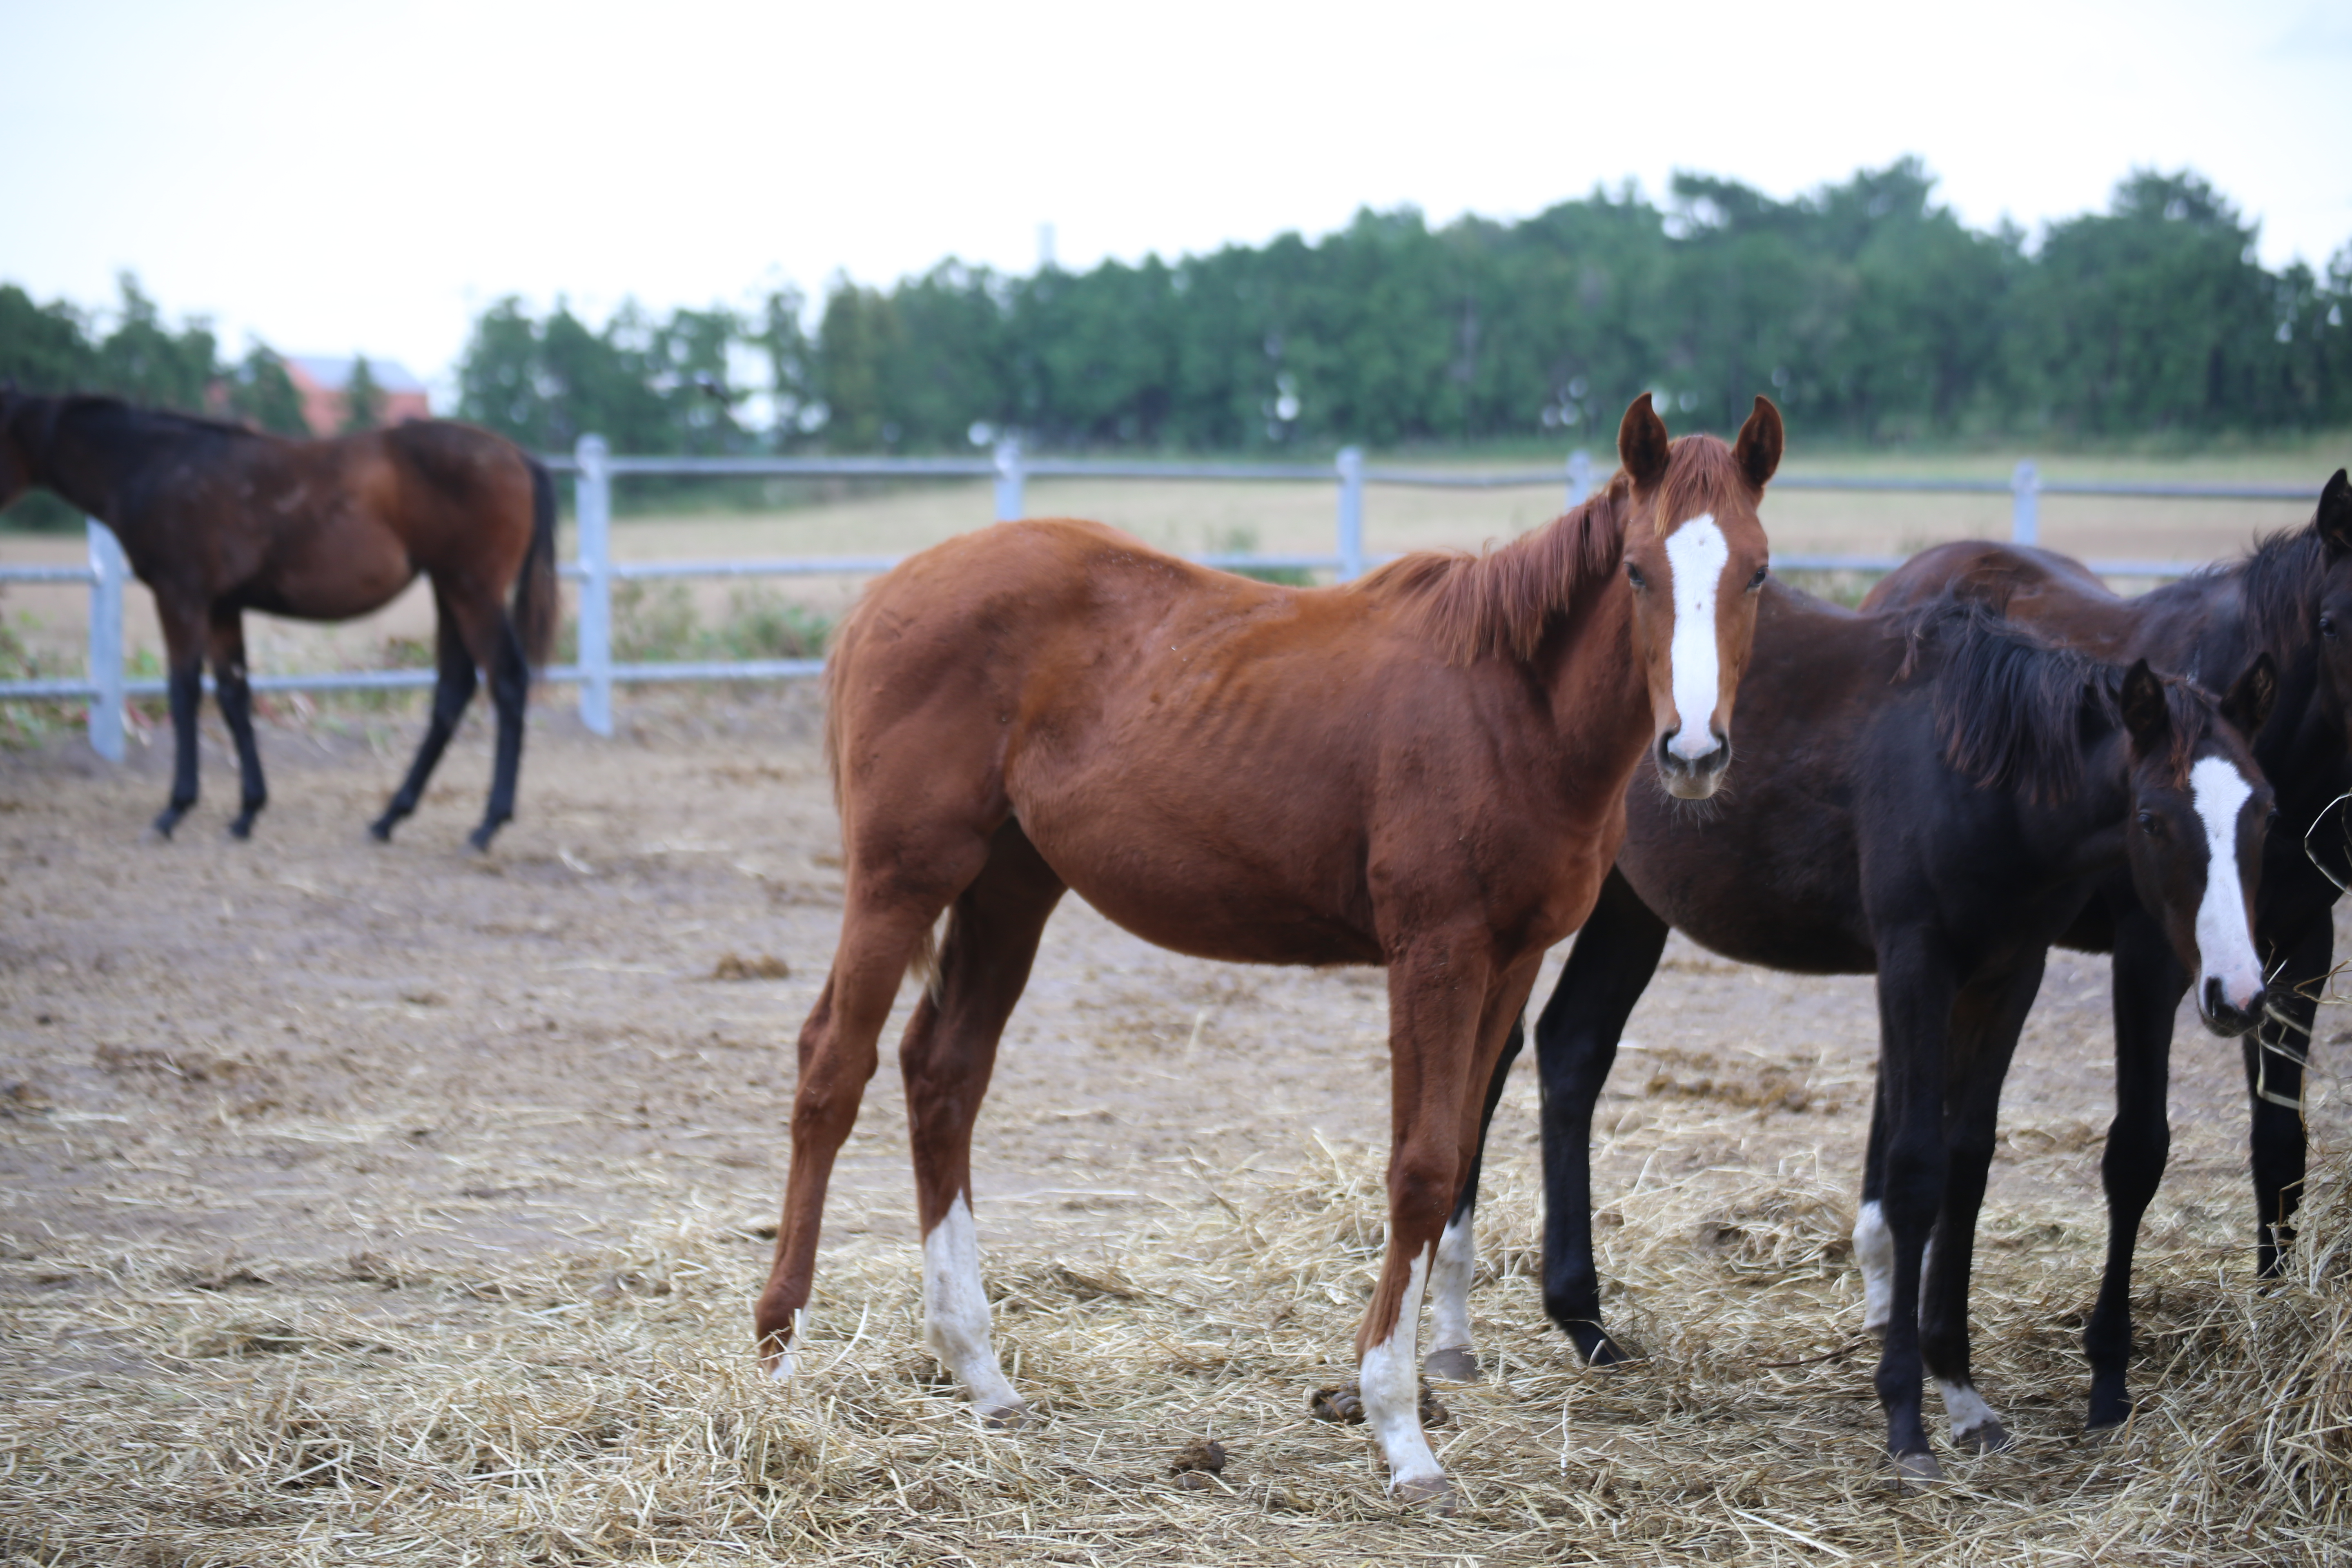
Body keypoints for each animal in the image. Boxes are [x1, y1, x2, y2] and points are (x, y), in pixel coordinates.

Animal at [0, 399, 555, 851]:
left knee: (507, 682)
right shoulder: (222, 608)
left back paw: (486, 826)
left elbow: (184, 693)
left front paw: (174, 811)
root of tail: (517, 456)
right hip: (449, 591)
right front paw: (247, 813)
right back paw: (389, 818)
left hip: (472, 592)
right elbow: (233, 696)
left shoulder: (182, 599)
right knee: (454, 690)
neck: (158, 464)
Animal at [766, 395, 1778, 1504]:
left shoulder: (1511, 960)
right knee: (832, 1067)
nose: (1693, 752)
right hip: (902, 879)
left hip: (1009, 887)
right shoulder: (1435, 951)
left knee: (941, 1074)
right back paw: (780, 1355)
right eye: (1637, 570)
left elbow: (1457, 1153)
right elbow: (1421, 1167)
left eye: (1757, 572)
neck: (1508, 705)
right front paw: (1397, 1428)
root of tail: (888, 593)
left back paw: (978, 1370)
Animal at [1430, 585, 2276, 1486]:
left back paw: (1586, 1325)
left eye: (2266, 811)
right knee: (1489, 1064)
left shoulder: (2010, 972)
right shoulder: (1914, 960)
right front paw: (1906, 1417)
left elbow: (1968, 1165)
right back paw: (1451, 1332)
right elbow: (1913, 1173)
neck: (1978, 775)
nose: (2237, 993)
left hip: (1628, 903)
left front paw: (1963, 1394)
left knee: (1572, 1050)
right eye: (2151, 818)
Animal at [1853, 465, 2352, 1439]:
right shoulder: (2152, 956)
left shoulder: (2297, 951)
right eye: (2330, 621)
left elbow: (2282, 1144)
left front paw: (2278, 1315)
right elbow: (2137, 1152)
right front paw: (2109, 1375)